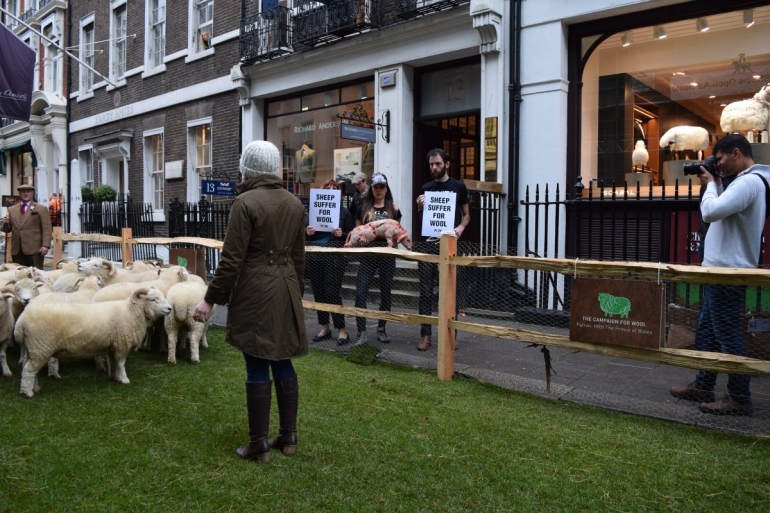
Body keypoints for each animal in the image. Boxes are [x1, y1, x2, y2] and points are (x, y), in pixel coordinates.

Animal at [15, 288, 172, 396]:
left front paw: (114, 378)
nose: (169, 308)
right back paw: (27, 393)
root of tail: (21, 322)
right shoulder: (121, 345)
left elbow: (113, 362)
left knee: (29, 369)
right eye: (153, 299)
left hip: (32, 349)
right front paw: (124, 379)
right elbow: (121, 364)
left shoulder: (113, 345)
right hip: (40, 347)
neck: (131, 312)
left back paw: (34, 388)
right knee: (29, 370)